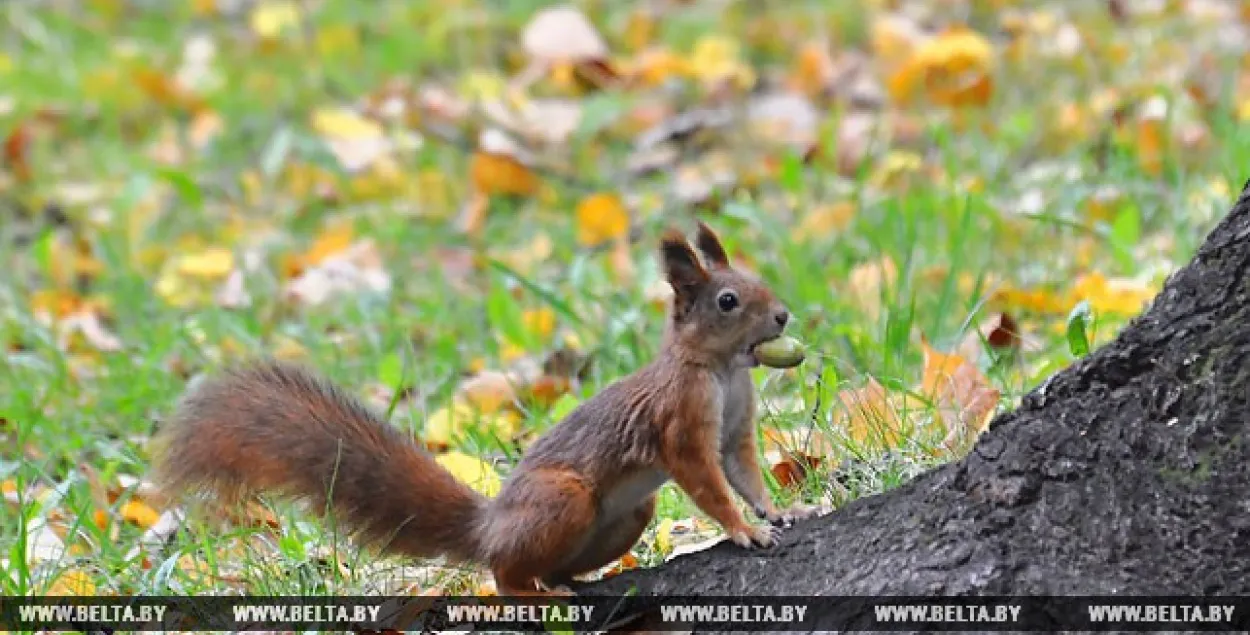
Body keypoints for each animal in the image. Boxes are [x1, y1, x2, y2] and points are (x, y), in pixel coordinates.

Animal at [153, 222, 820, 595]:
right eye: (728, 300)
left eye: (755, 279)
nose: (783, 316)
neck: (723, 371)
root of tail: (490, 525)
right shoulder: (680, 421)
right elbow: (707, 481)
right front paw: (744, 530)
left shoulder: (736, 428)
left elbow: (744, 472)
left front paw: (784, 510)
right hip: (562, 499)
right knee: (504, 577)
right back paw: (538, 594)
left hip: (626, 516)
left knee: (542, 565)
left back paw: (569, 580)